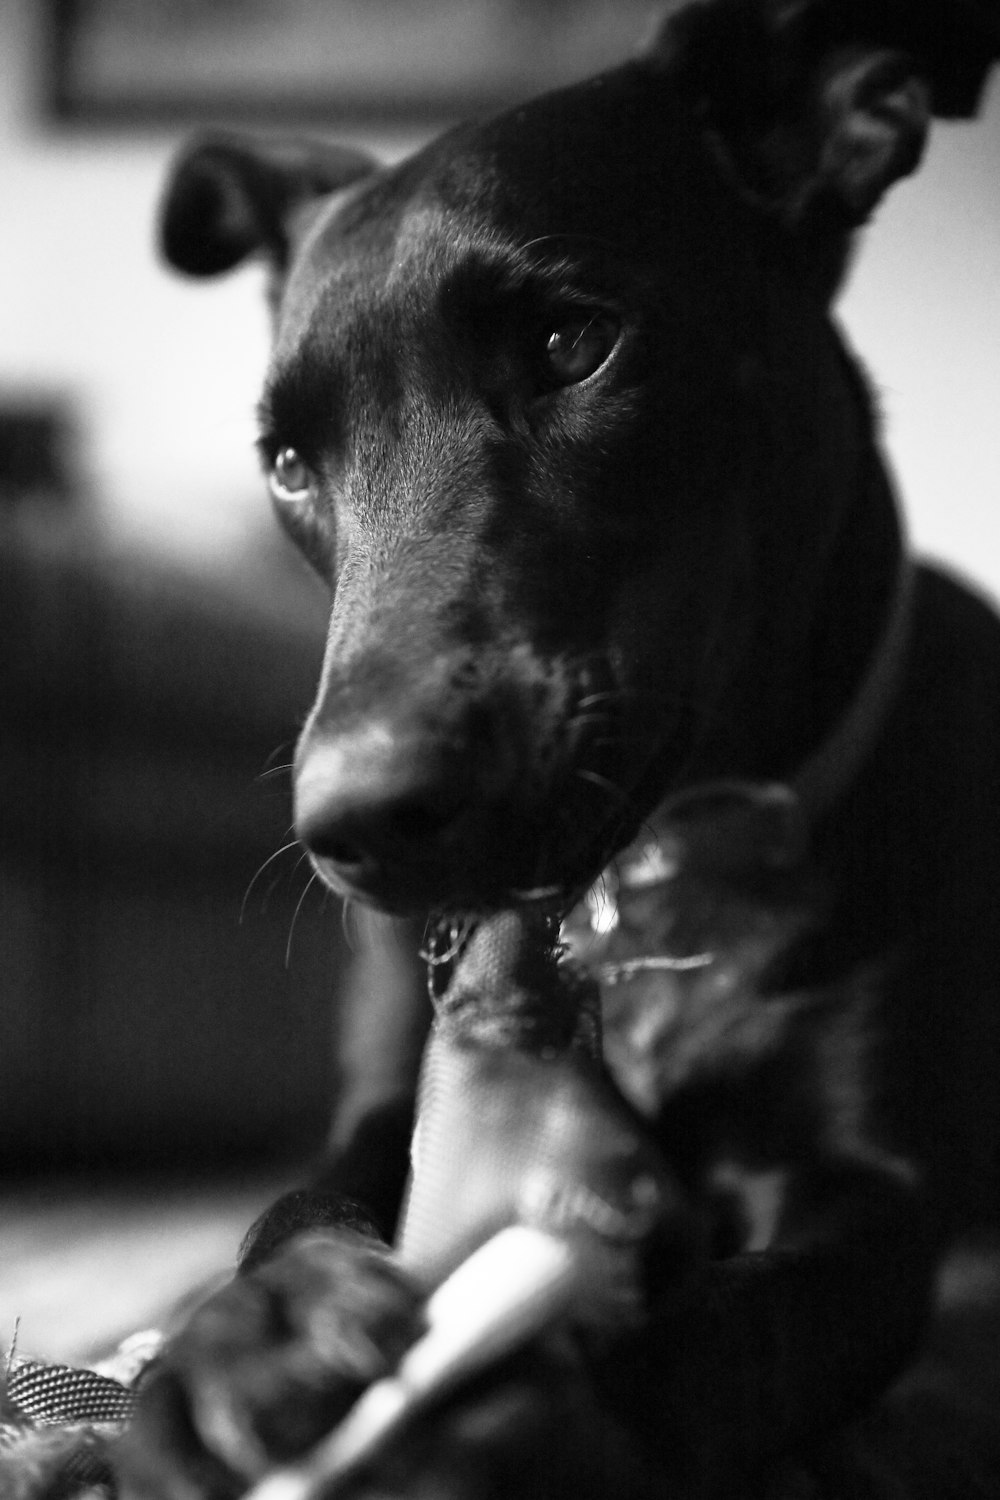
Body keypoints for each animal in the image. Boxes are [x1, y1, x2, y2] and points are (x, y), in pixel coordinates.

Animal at [125, 2, 1000, 1500]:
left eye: (570, 341)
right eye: (288, 462)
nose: (359, 827)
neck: (628, 910)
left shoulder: (868, 1193)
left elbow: (737, 1334)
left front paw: (511, 1411)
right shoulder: (384, 1107)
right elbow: (295, 1200)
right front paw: (248, 1329)